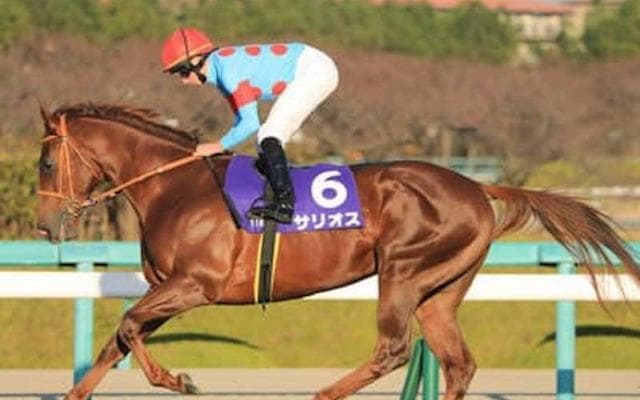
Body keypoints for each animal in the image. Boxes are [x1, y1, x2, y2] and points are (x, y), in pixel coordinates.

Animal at [36, 103, 640, 400]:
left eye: (44, 162)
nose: (43, 225)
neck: (174, 186)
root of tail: (477, 186)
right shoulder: (169, 287)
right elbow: (118, 339)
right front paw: (74, 395)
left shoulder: (193, 285)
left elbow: (128, 326)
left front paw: (178, 381)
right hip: (441, 289)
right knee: (457, 363)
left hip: (403, 270)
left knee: (394, 349)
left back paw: (324, 394)